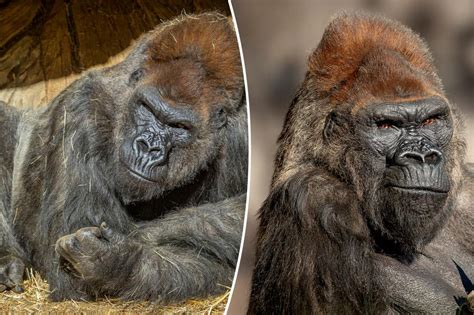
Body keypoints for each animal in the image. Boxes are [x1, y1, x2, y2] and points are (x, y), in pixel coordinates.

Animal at [0, 12, 250, 304]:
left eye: (179, 127)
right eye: (147, 109)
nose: (149, 147)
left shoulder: (240, 133)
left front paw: (119, 261)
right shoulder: (81, 112)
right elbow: (71, 282)